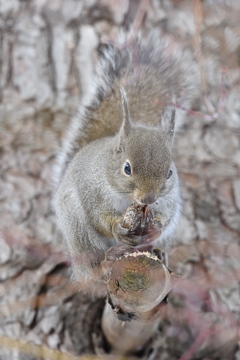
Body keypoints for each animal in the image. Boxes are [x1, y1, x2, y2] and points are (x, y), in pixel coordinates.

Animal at [53, 29, 192, 292]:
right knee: (91, 264)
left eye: (169, 172)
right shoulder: (92, 192)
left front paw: (155, 227)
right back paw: (101, 267)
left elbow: (165, 215)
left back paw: (158, 251)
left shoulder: (169, 201)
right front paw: (117, 228)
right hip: (79, 232)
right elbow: (98, 216)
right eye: (127, 168)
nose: (148, 198)